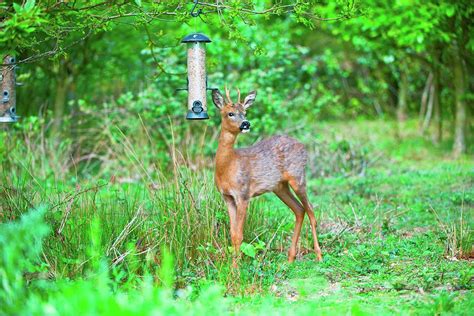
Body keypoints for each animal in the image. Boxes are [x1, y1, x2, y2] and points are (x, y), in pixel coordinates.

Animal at [213, 87, 324, 262]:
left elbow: (239, 235)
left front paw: (237, 268)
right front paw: (232, 266)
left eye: (245, 112)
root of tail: (303, 146)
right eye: (230, 113)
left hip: (298, 177)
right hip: (280, 186)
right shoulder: (227, 197)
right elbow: (232, 234)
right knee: (299, 210)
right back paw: (290, 259)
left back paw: (319, 256)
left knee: (311, 211)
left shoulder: (244, 194)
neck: (228, 167)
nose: (246, 123)